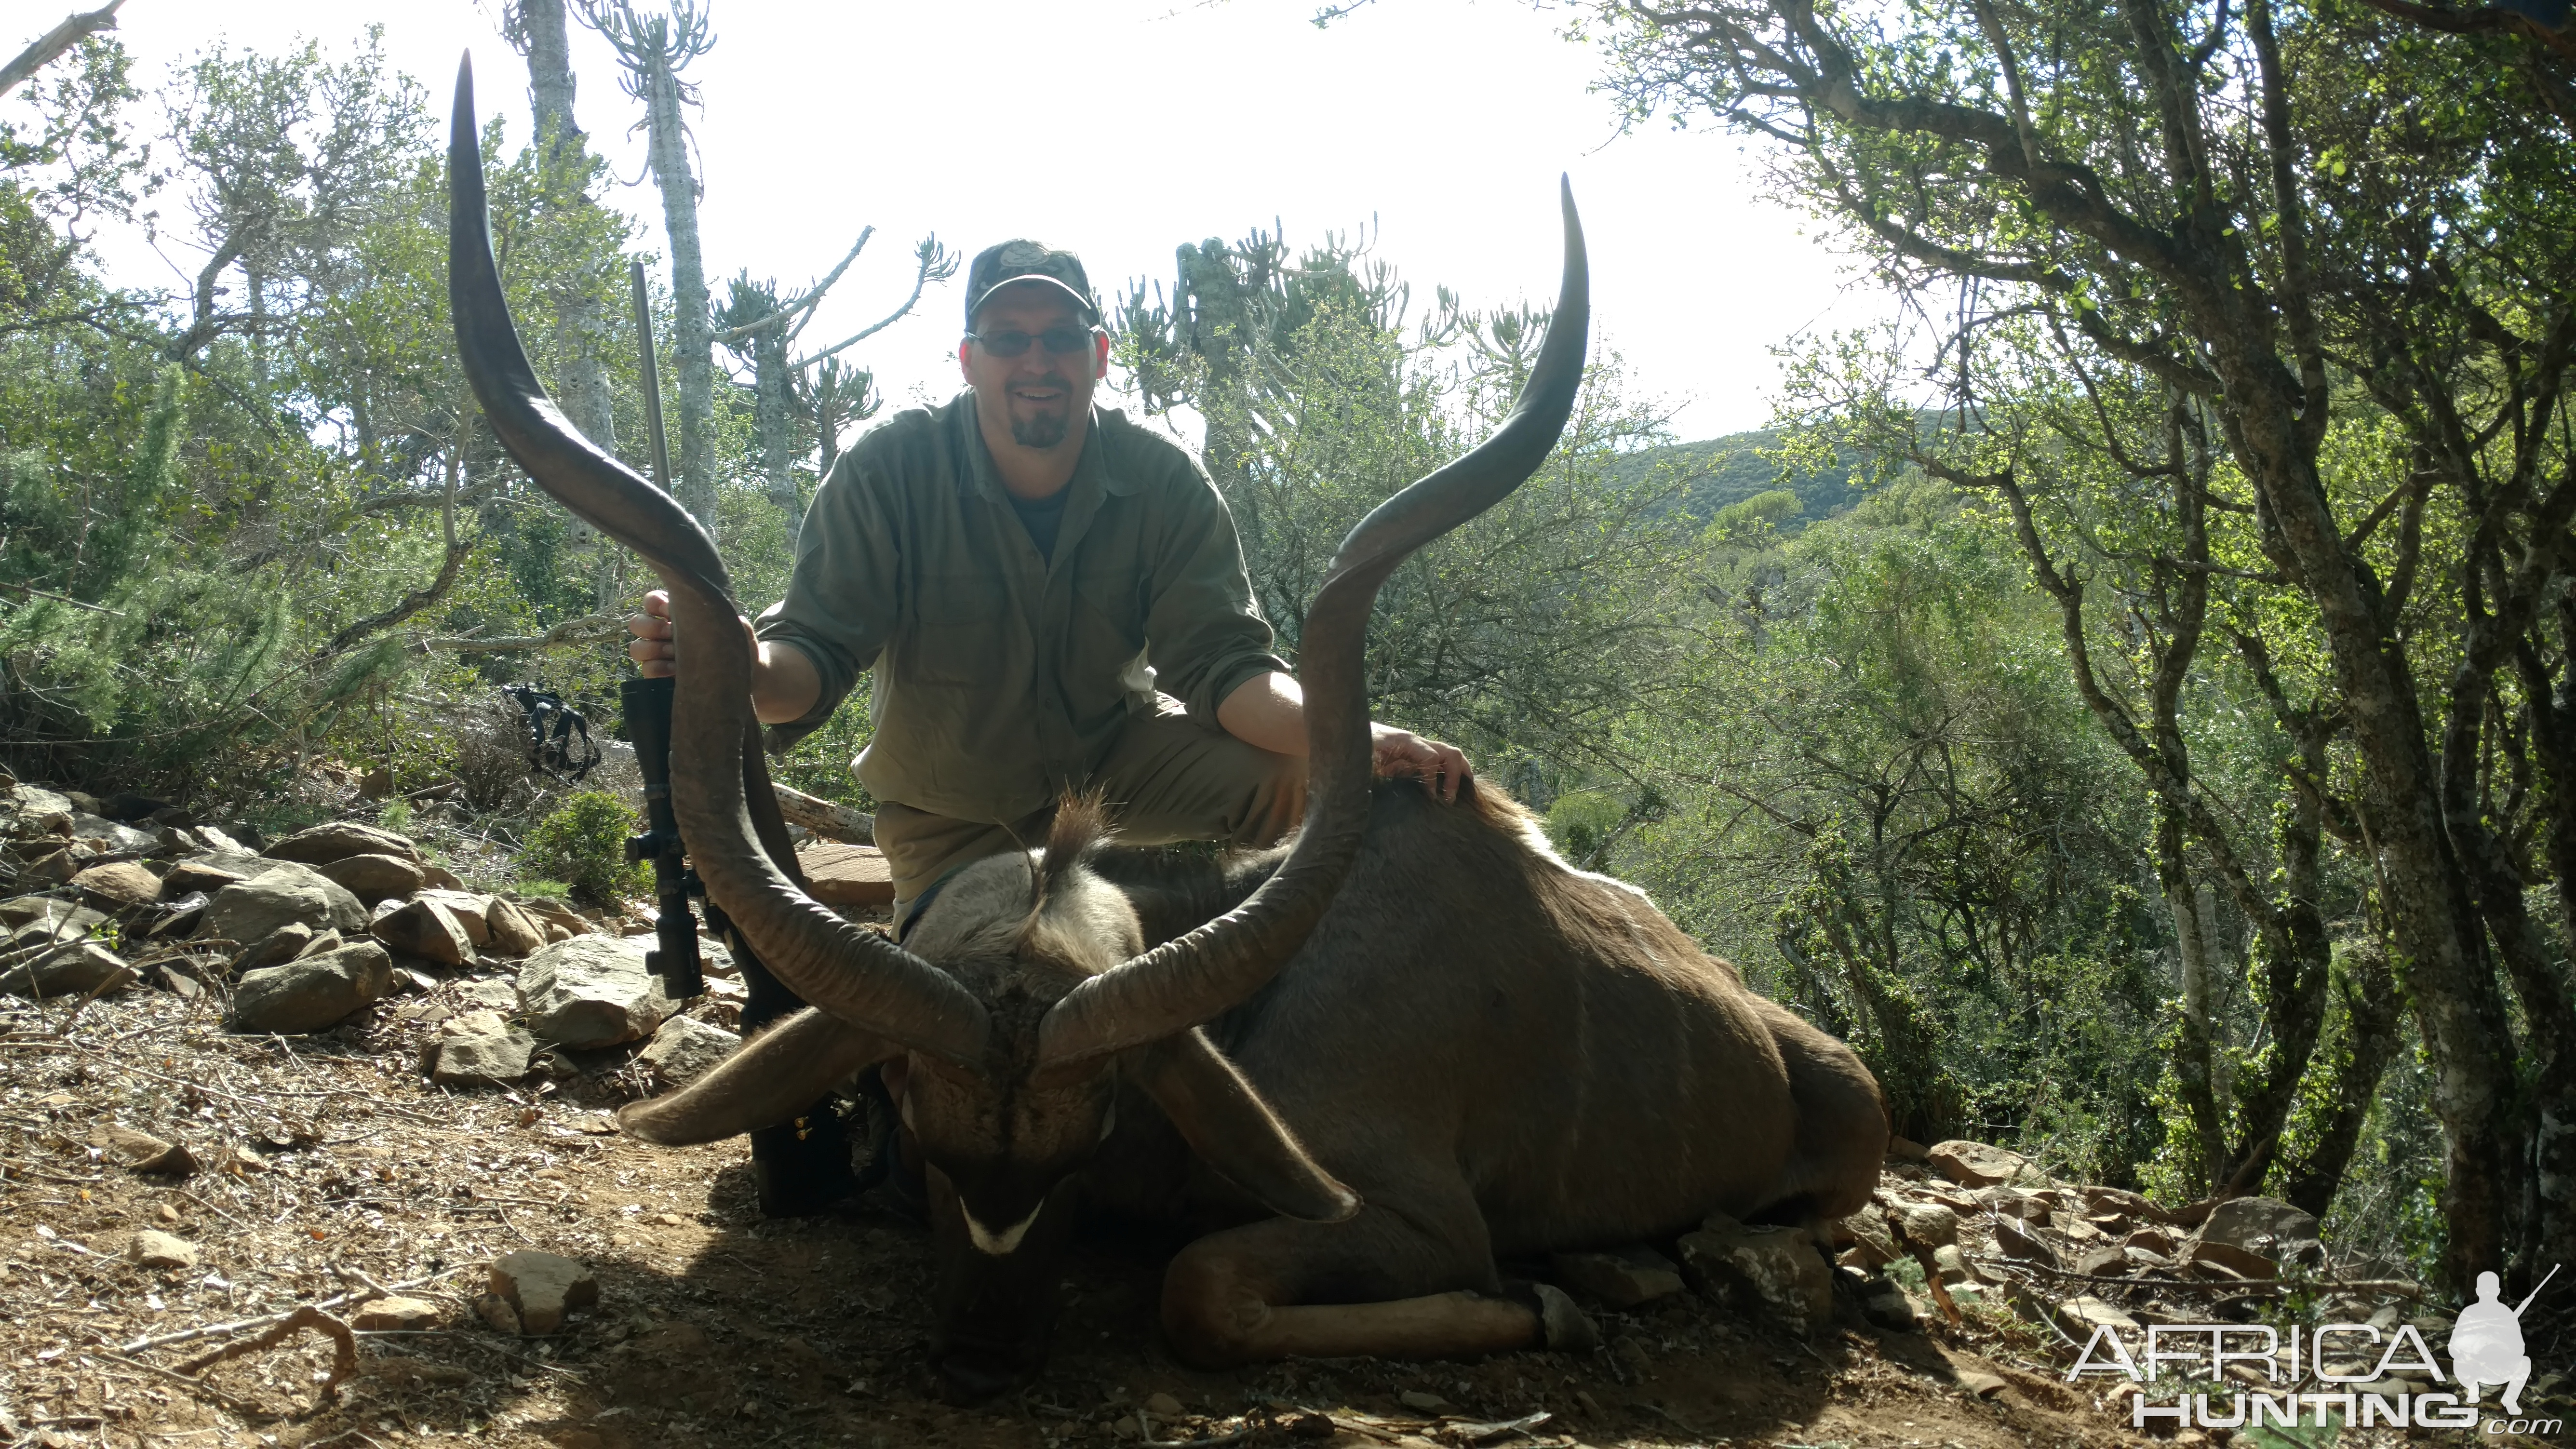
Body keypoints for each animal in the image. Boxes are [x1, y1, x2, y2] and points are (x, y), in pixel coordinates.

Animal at [453, 59, 1885, 1402]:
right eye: (916, 1124)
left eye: (1092, 1137)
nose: (982, 1359)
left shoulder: (1414, 1216)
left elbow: (1201, 1289)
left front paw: (1551, 1303)